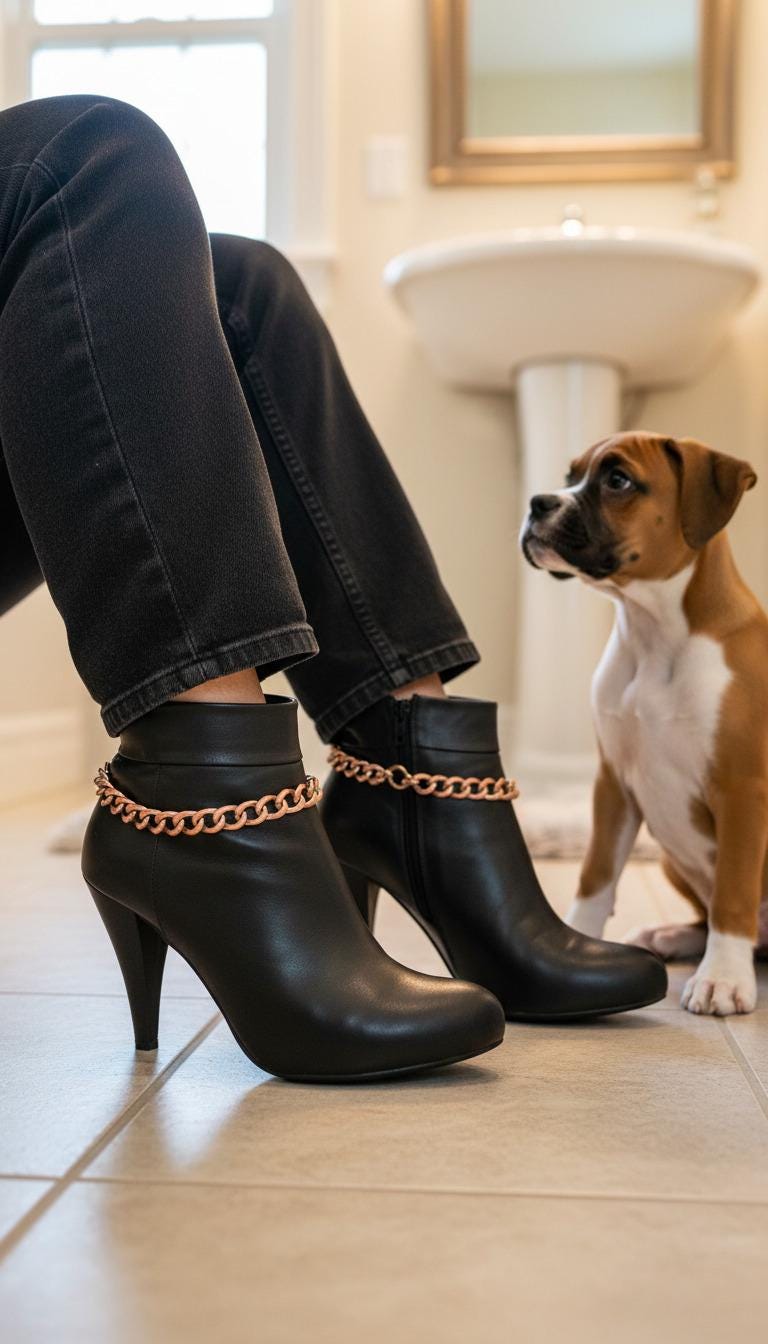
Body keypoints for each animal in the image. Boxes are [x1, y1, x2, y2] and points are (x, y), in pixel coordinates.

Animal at [520, 431, 768, 1015]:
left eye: (618, 481)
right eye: (570, 476)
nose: (537, 503)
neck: (654, 633)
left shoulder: (742, 791)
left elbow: (734, 893)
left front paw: (724, 978)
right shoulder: (613, 784)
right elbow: (595, 875)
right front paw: (577, 944)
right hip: (673, 860)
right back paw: (670, 936)